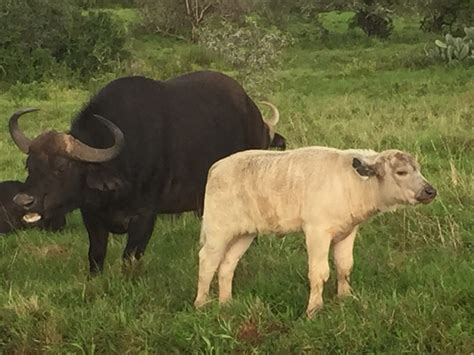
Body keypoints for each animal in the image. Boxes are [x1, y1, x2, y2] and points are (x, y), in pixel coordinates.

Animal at [9, 71, 286, 274]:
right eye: (29, 165)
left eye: (62, 167)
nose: (23, 201)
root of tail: (253, 113)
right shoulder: (92, 215)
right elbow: (95, 255)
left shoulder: (144, 216)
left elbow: (130, 257)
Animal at [193, 146, 436, 318]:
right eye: (401, 172)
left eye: (418, 169)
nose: (430, 191)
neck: (352, 183)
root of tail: (217, 166)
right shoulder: (317, 232)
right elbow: (319, 273)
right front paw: (314, 310)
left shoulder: (348, 232)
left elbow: (344, 267)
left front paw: (345, 299)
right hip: (218, 230)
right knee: (207, 262)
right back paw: (201, 304)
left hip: (244, 234)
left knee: (227, 265)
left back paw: (226, 303)